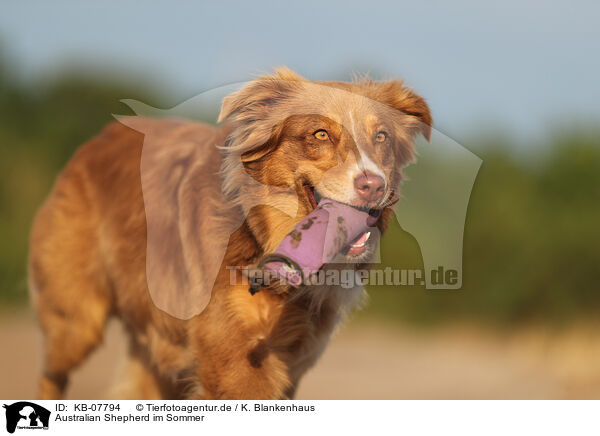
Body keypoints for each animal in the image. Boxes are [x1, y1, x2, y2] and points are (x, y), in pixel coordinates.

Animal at [29, 67, 432, 398]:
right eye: (320, 134)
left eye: (381, 137)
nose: (373, 186)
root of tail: (100, 137)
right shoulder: (233, 363)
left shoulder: (293, 363)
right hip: (78, 319)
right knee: (51, 374)